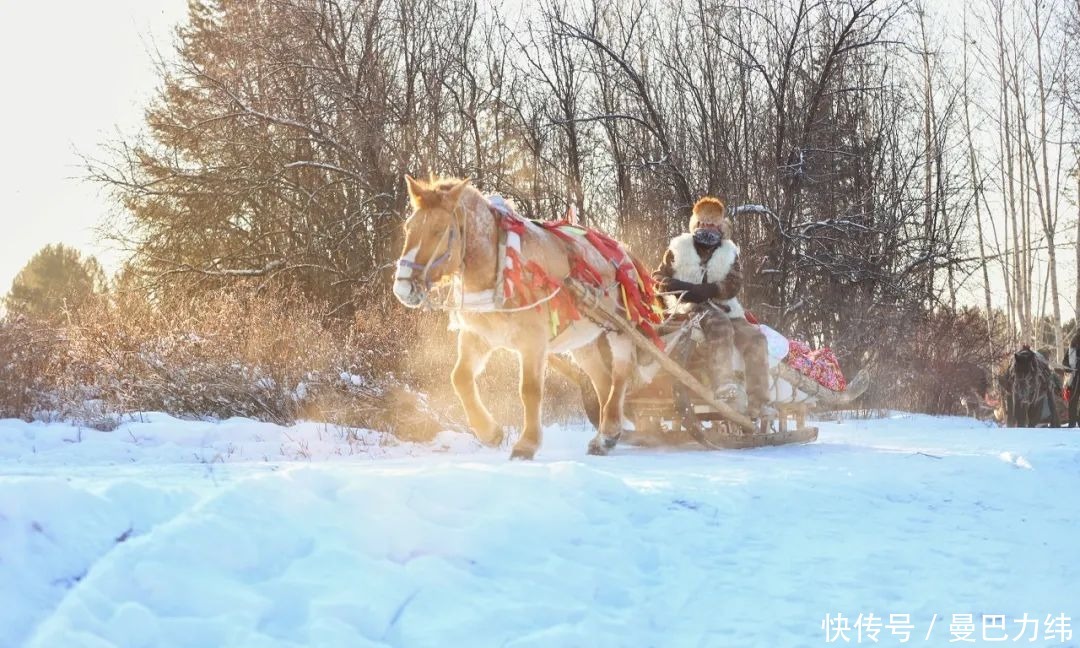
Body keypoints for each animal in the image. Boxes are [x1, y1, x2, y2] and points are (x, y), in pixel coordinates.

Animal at [393, 174, 652, 457]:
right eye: (407, 227)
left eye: (439, 230)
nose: (403, 288)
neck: (504, 266)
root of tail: (623, 251)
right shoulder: (477, 336)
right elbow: (460, 378)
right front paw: (489, 432)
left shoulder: (533, 341)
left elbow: (530, 390)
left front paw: (526, 443)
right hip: (583, 341)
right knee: (602, 380)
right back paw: (607, 435)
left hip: (620, 328)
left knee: (621, 374)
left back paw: (609, 432)